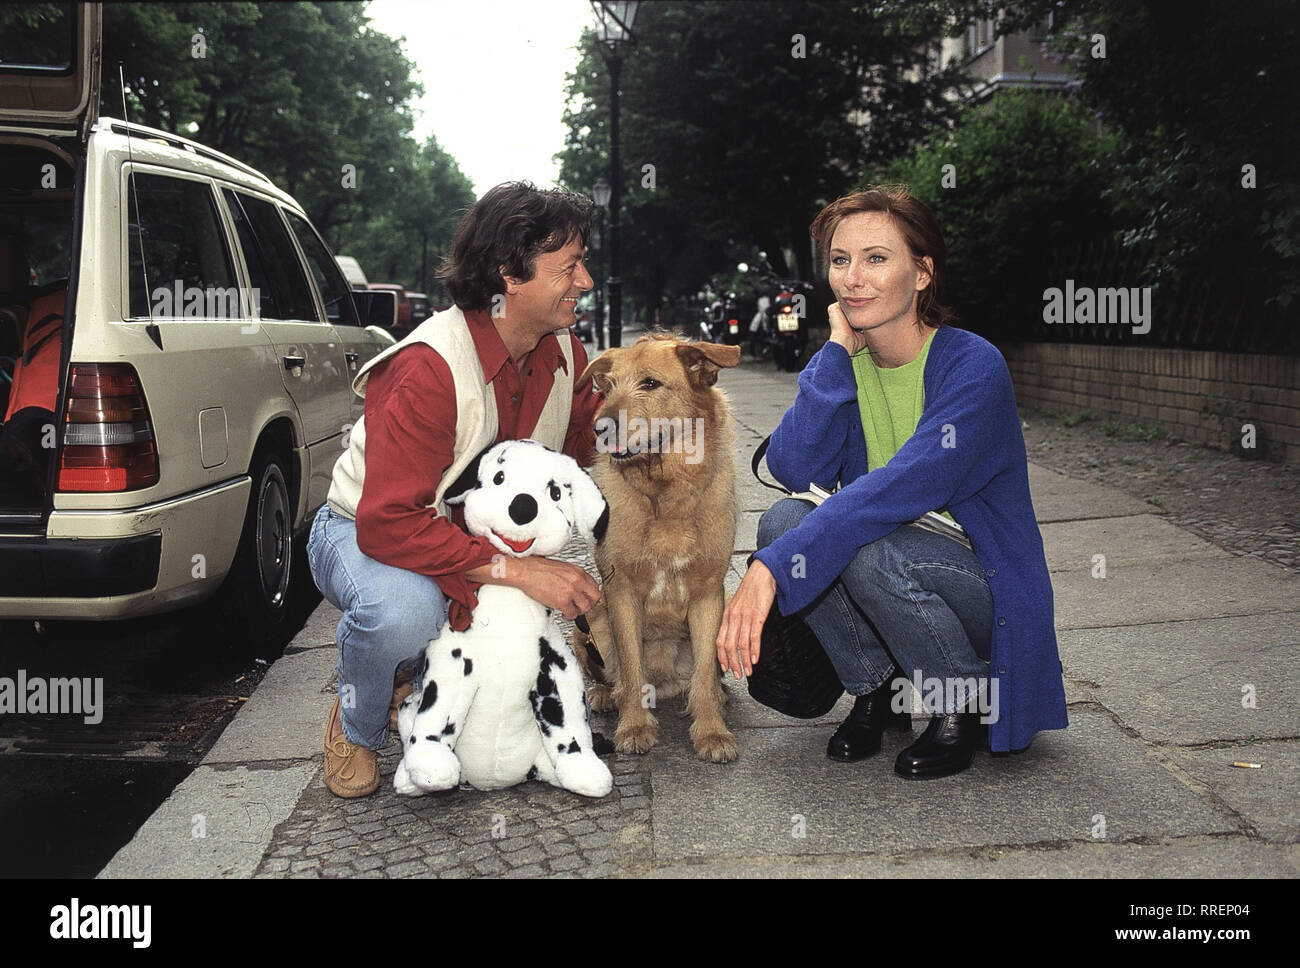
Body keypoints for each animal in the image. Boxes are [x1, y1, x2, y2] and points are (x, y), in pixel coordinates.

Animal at [577, 332, 743, 764]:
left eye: (650, 383)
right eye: (608, 386)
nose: (599, 427)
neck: (667, 496)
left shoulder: (709, 595)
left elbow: (705, 675)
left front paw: (712, 732)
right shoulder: (620, 594)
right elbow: (631, 669)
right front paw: (635, 727)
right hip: (589, 619)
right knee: (610, 674)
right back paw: (604, 695)